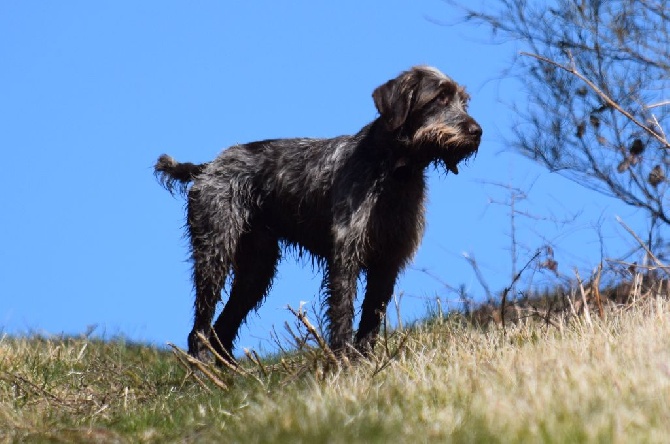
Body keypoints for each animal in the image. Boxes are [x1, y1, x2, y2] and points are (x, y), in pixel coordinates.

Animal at [156, 66, 484, 360]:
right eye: (439, 98)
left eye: (463, 101)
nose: (477, 132)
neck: (393, 172)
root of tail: (208, 166)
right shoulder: (346, 256)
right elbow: (342, 315)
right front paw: (342, 363)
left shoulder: (388, 261)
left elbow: (371, 319)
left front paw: (365, 362)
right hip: (215, 255)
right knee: (200, 329)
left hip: (255, 270)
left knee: (221, 330)